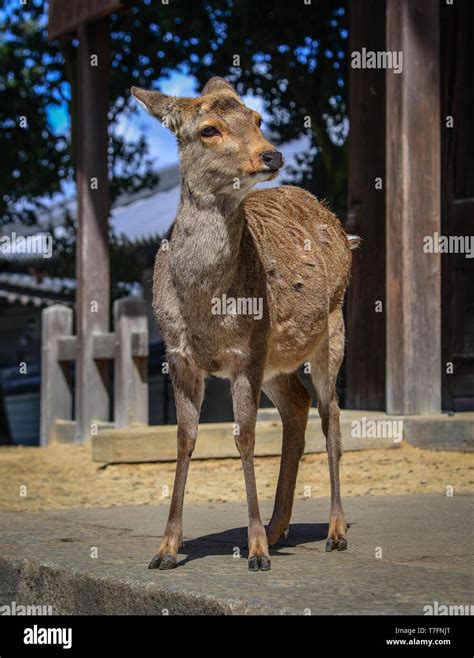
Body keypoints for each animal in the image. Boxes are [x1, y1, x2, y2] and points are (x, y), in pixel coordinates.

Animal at [131, 77, 358, 568]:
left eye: (257, 117)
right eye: (208, 130)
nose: (272, 155)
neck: (204, 306)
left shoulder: (248, 351)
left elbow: (246, 437)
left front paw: (255, 551)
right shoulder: (179, 355)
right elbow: (185, 439)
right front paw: (166, 548)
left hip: (332, 326)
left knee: (331, 415)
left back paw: (333, 530)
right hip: (277, 359)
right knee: (297, 405)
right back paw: (278, 528)